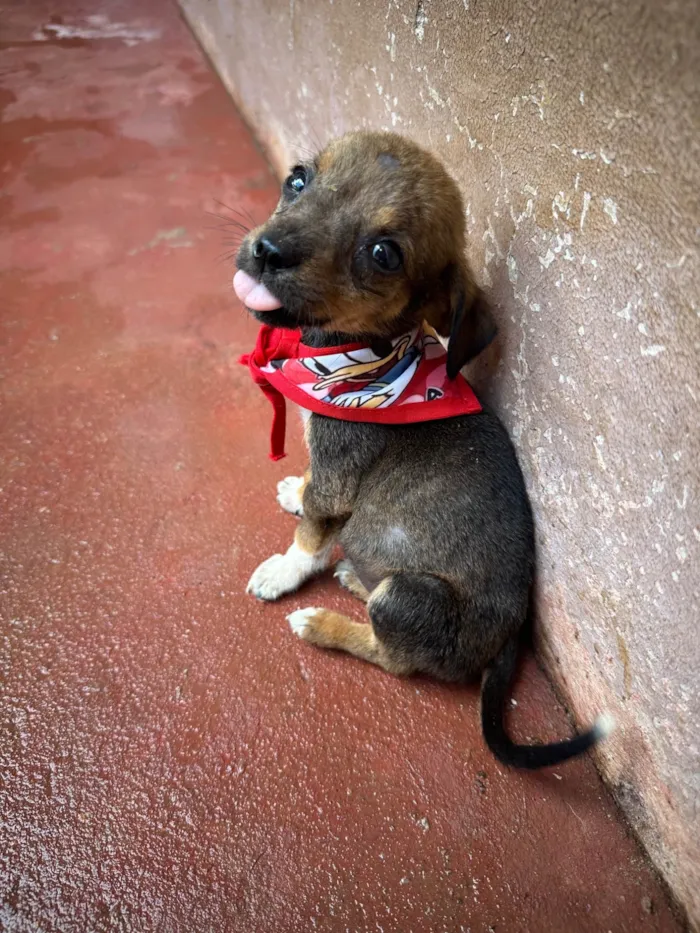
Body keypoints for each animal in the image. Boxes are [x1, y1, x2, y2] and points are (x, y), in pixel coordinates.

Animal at [235, 133, 612, 772]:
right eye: (297, 180)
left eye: (383, 253)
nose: (266, 251)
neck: (359, 360)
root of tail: (509, 639)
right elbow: (312, 497)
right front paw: (295, 489)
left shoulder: (340, 474)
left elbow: (311, 536)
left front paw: (284, 570)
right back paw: (353, 578)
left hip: (409, 596)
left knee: (396, 659)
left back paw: (323, 622)